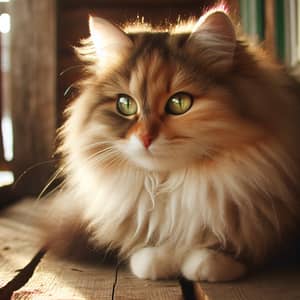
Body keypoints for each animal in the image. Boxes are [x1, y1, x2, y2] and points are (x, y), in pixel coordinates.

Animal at [52, 6, 300, 284]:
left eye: (179, 103)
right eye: (125, 105)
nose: (145, 138)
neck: (173, 185)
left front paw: (207, 263)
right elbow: (151, 252)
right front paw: (158, 259)